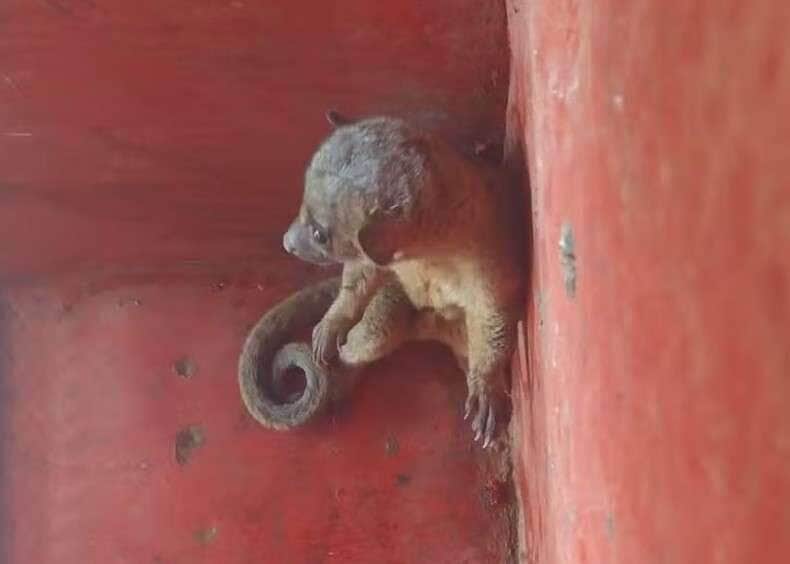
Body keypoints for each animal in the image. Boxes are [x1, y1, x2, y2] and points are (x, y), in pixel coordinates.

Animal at [239, 110, 524, 447]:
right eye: (302, 207)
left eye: (320, 234)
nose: (286, 243)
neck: (429, 255)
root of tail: (429, 329)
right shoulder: (382, 262)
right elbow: (362, 274)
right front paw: (333, 323)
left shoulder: (491, 261)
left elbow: (495, 314)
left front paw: (487, 390)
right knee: (378, 330)